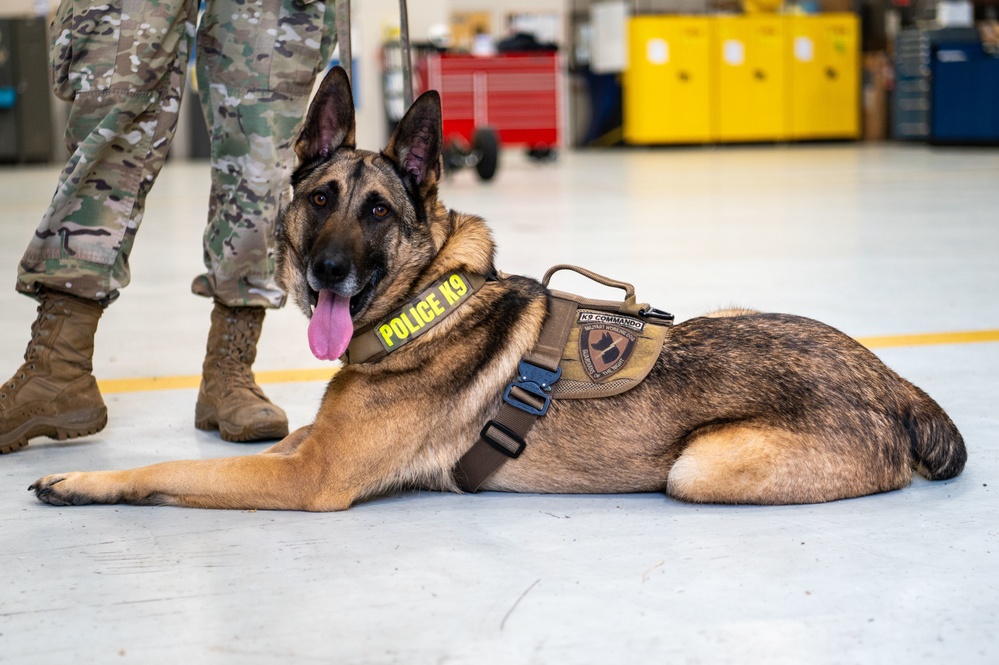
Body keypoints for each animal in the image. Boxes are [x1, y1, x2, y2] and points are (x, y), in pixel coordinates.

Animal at [33, 67, 968, 510]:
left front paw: (83, 484)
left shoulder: (310, 480)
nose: (328, 272)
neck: (421, 307)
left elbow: (168, 469)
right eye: (321, 199)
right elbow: (230, 452)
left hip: (697, 466)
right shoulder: (306, 450)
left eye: (377, 211)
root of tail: (896, 383)